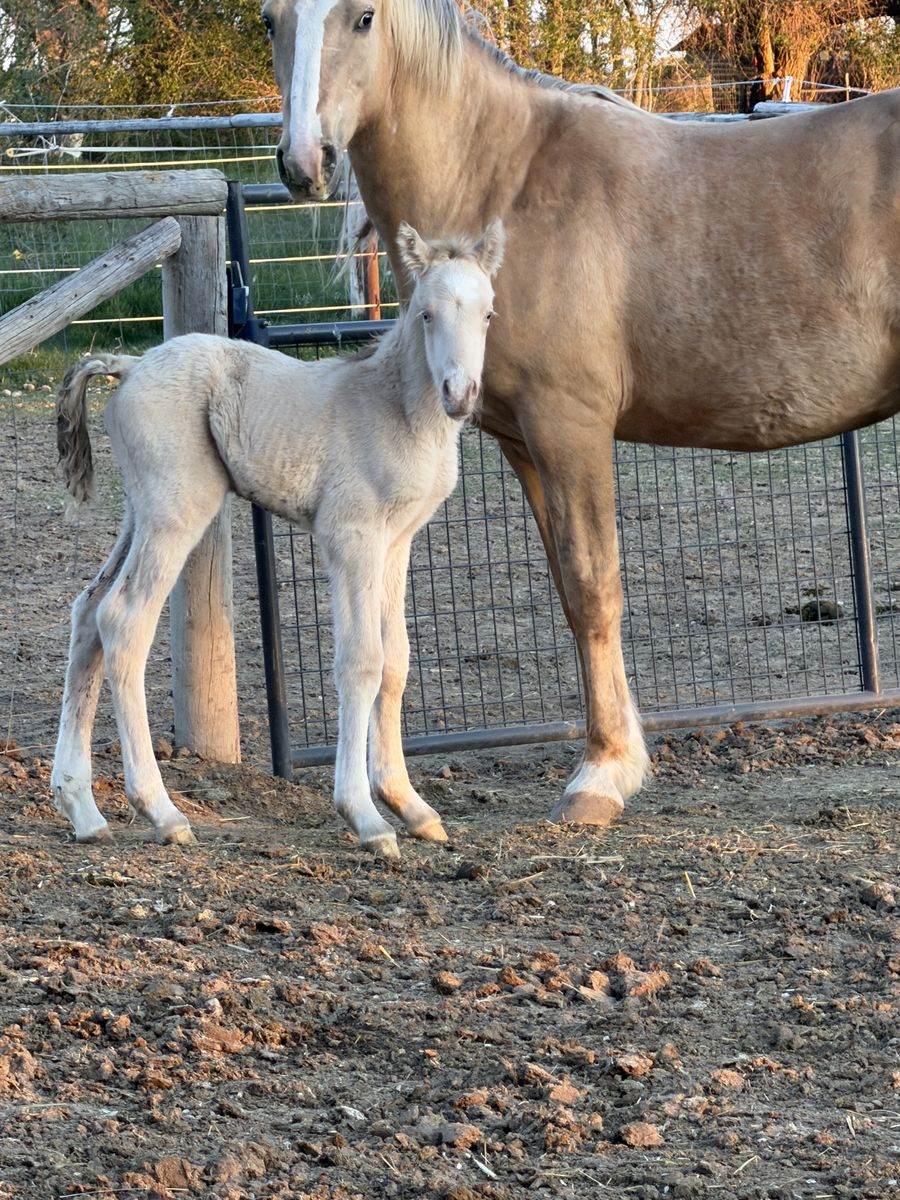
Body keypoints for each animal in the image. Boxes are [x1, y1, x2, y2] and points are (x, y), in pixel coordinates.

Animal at [52, 219, 505, 858]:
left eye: (488, 313)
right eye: (426, 313)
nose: (460, 393)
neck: (394, 406)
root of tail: (130, 364)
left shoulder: (396, 544)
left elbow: (396, 661)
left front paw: (411, 806)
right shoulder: (351, 539)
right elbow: (361, 662)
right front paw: (366, 817)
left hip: (139, 512)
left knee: (89, 613)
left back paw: (83, 809)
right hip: (176, 512)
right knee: (123, 621)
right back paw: (162, 811)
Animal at [264, 0, 900, 827]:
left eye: (364, 17)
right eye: (270, 21)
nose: (303, 162)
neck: (505, 179)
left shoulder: (571, 428)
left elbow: (595, 586)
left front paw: (600, 776)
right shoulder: (524, 442)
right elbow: (570, 595)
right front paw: (620, 756)